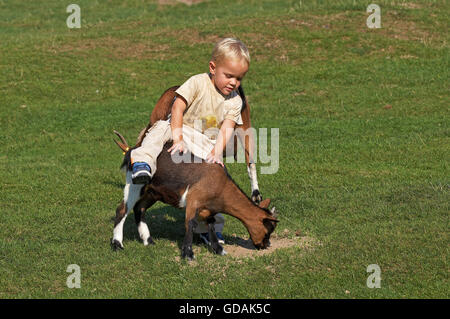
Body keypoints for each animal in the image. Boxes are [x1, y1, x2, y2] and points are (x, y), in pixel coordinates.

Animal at [111, 132, 278, 260]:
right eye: (268, 229)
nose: (265, 245)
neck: (221, 186)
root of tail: (131, 150)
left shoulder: (207, 209)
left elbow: (210, 225)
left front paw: (218, 249)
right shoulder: (193, 200)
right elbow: (190, 224)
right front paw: (188, 253)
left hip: (153, 192)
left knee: (140, 209)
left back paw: (148, 240)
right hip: (134, 184)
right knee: (122, 209)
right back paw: (117, 244)